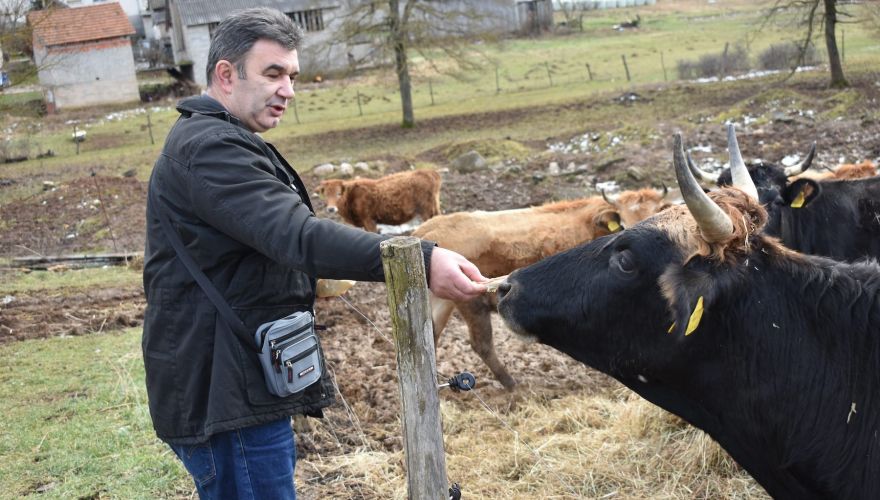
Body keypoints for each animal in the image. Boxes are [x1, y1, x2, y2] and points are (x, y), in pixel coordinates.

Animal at [314, 167, 444, 231]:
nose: (331, 209)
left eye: (338, 193)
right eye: (325, 194)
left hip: (426, 210)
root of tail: (429, 172)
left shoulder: (368, 220)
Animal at [416, 187, 672, 386]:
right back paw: (511, 384)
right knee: (482, 344)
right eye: (624, 224)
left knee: (431, 334)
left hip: (441, 301)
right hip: (471, 303)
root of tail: (427, 229)